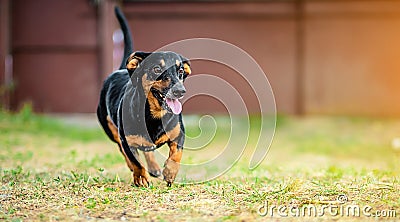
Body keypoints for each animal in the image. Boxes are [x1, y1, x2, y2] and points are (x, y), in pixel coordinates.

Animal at [97, 6, 191, 186]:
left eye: (181, 71)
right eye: (156, 69)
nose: (180, 91)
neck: (155, 115)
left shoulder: (179, 134)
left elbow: (177, 154)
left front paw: (170, 172)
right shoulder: (125, 139)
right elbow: (135, 161)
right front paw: (140, 177)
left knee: (148, 150)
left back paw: (154, 167)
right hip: (111, 130)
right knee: (123, 150)